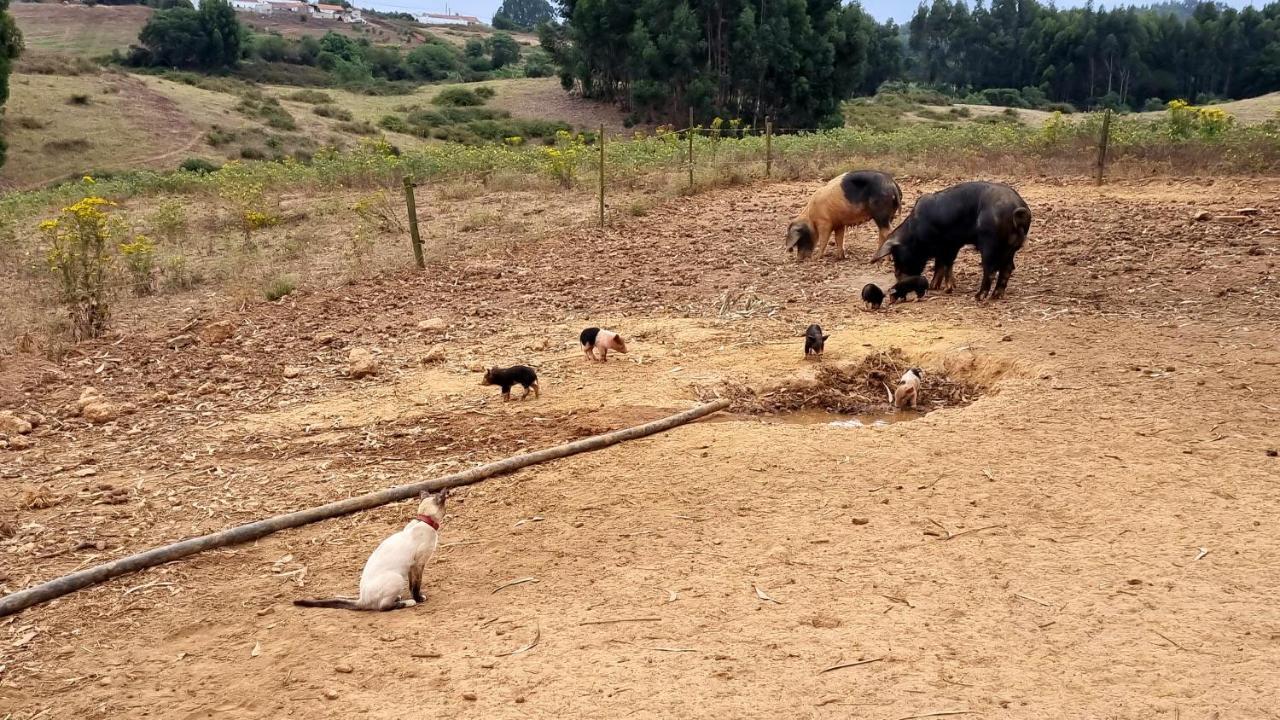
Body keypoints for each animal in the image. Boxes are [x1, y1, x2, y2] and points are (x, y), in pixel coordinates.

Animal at [293, 484, 448, 607]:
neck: (424, 521)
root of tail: (362, 599)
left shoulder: (411, 567)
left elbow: (412, 585)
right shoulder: (418, 564)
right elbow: (416, 585)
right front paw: (419, 598)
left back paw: (398, 598)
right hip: (397, 578)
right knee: (383, 607)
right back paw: (408, 602)